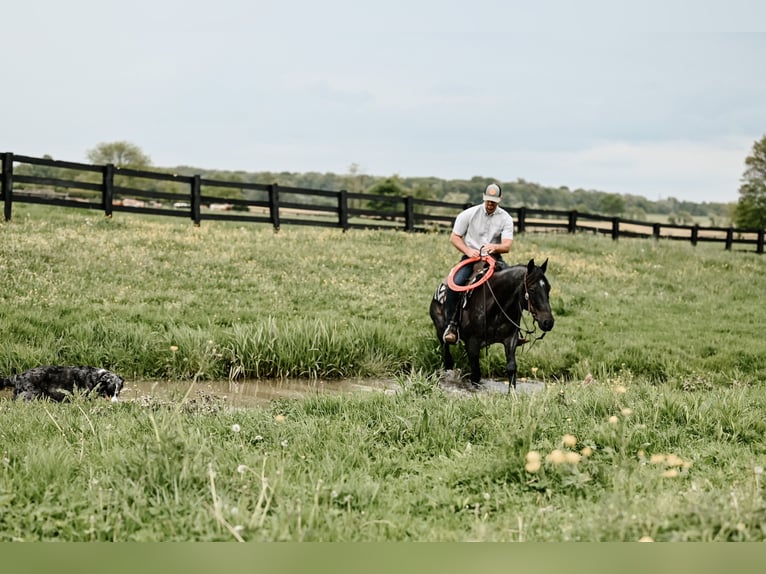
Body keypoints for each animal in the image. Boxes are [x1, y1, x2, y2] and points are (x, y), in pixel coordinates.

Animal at [428, 260, 556, 392]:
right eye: (532, 289)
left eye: (548, 288)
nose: (548, 322)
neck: (495, 306)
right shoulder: (473, 343)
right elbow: (476, 375)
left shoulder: (510, 339)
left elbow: (511, 368)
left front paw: (511, 394)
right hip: (440, 330)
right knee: (447, 355)